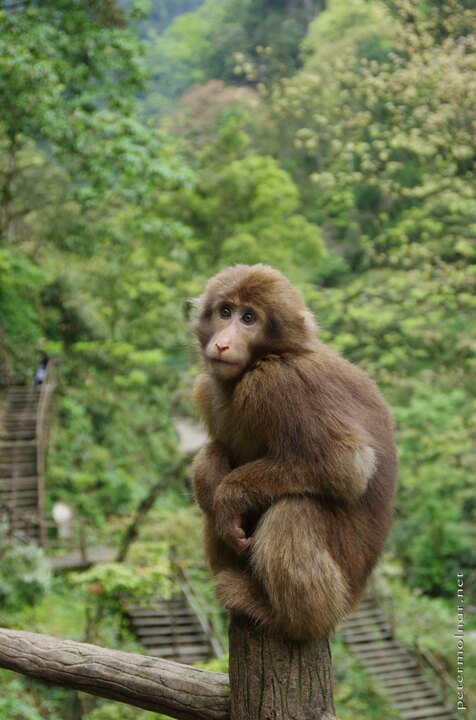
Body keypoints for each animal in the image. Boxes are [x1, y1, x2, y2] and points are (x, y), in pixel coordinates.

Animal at [191, 264, 397, 640]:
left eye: (249, 318)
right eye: (225, 311)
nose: (223, 343)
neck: (269, 357)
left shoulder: (277, 383)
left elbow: (347, 464)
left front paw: (230, 496)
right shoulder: (206, 390)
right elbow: (214, 455)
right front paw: (215, 483)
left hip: (342, 582)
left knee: (295, 509)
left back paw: (284, 617)